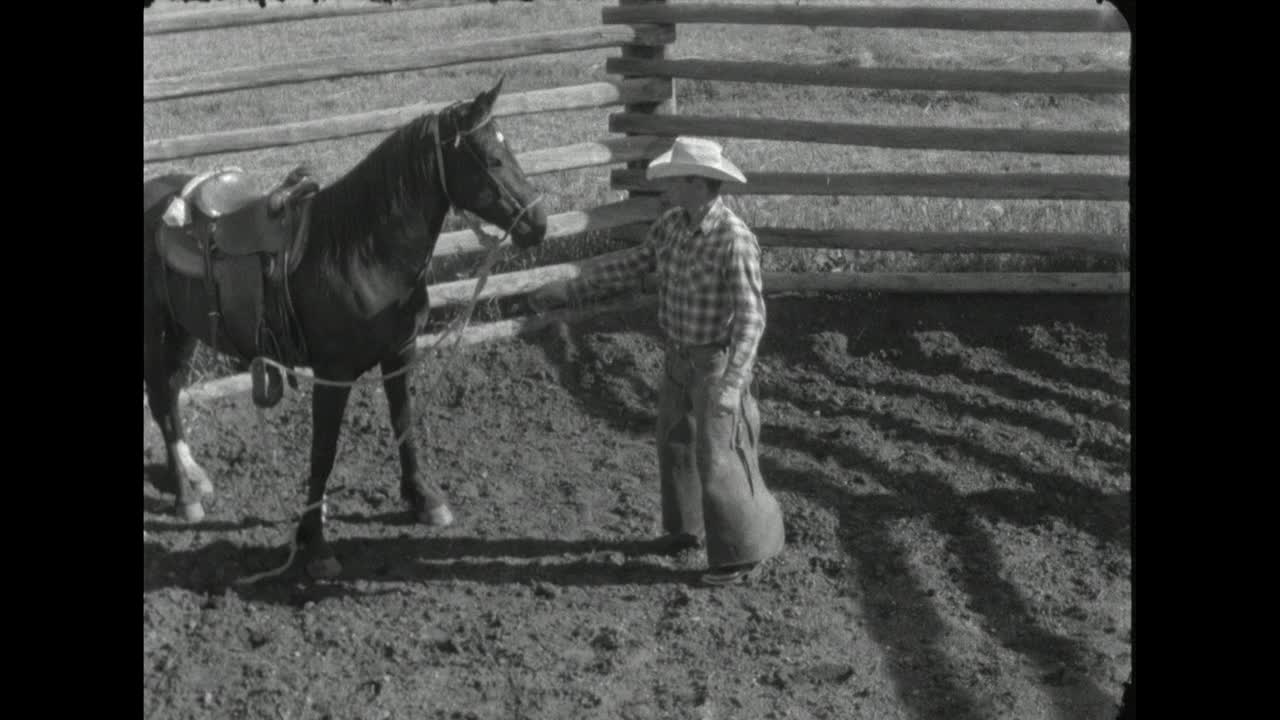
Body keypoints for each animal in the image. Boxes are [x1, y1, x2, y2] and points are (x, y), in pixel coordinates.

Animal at [142, 78, 547, 573]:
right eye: (491, 159)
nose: (539, 223)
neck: (362, 252)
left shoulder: (400, 353)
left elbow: (403, 421)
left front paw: (424, 500)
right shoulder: (333, 374)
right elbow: (324, 451)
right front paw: (315, 543)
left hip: (183, 331)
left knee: (169, 393)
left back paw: (194, 477)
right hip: (155, 330)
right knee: (162, 399)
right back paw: (186, 497)